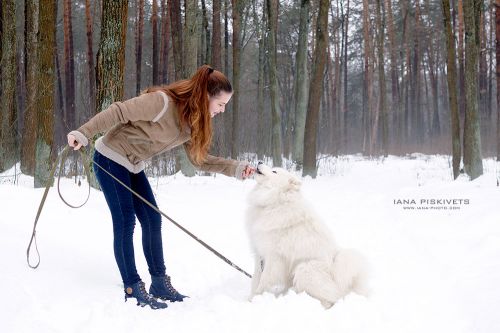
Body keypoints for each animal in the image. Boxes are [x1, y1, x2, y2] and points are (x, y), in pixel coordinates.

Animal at [244, 162, 370, 308]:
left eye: (274, 171)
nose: (259, 162)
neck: (275, 202)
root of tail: (344, 284)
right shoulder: (259, 254)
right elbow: (255, 279)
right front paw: (251, 298)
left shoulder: (274, 258)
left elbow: (264, 280)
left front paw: (256, 298)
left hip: (304, 269)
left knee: (330, 300)